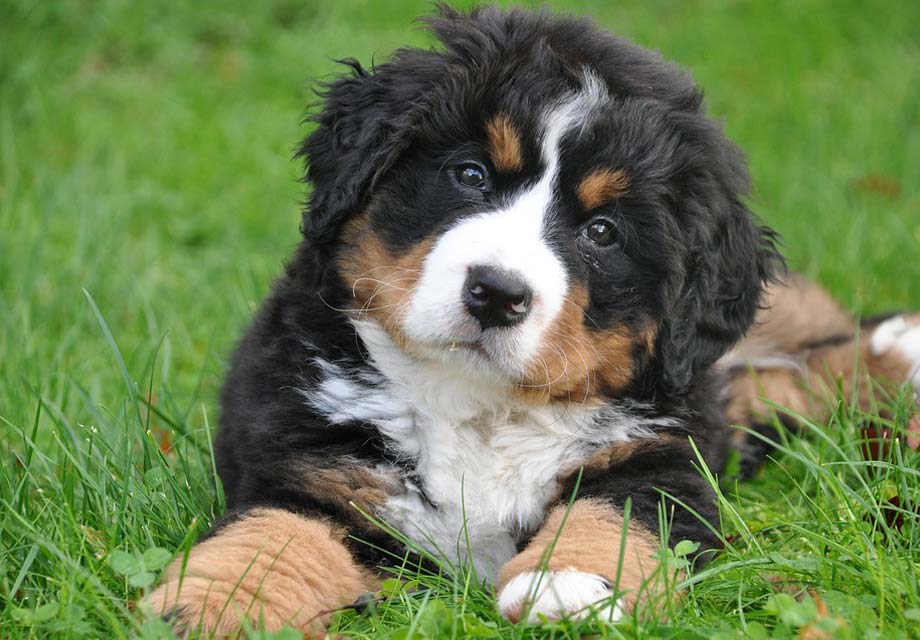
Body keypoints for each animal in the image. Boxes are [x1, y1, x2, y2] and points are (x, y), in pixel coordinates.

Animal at [147, 3, 920, 636]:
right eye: (470, 175)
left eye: (603, 232)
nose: (496, 293)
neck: (480, 407)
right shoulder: (311, 460)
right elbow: (273, 538)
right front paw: (210, 603)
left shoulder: (662, 456)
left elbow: (611, 514)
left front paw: (567, 584)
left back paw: (899, 354)